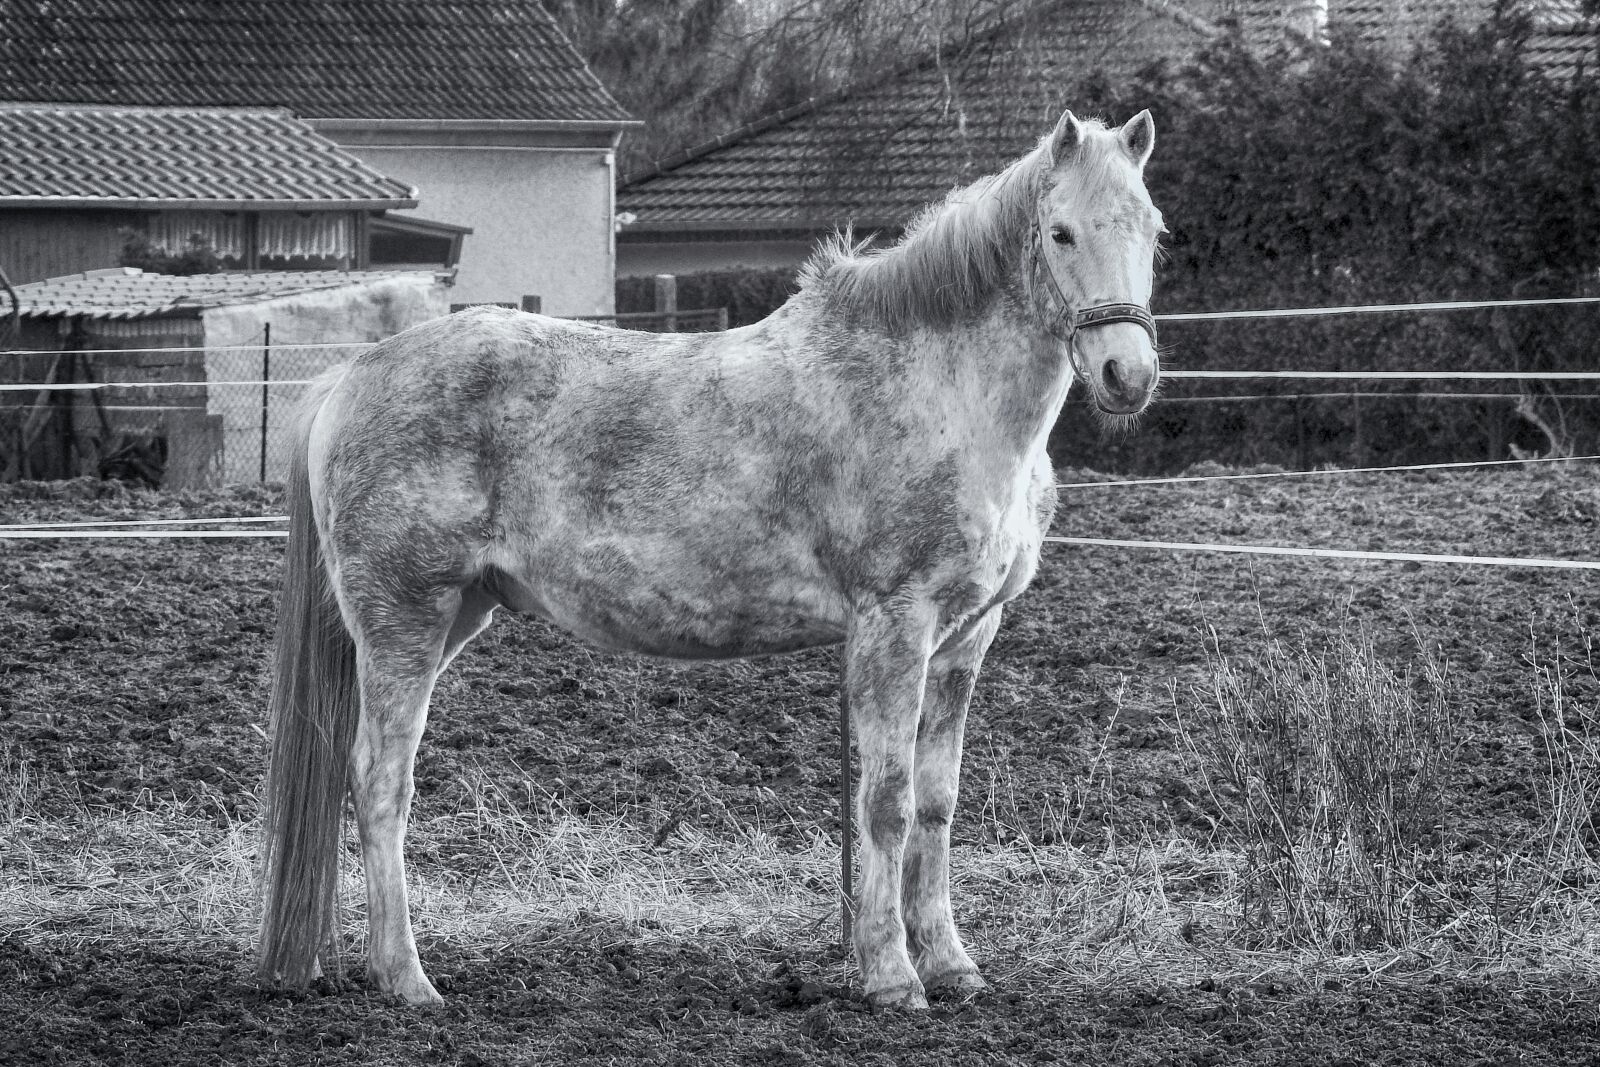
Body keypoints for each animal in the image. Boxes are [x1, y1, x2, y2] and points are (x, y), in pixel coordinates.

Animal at [257, 107, 1164, 1011]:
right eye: (1060, 232)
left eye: (1153, 230)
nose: (1129, 374)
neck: (935, 390)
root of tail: (352, 373)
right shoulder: (894, 625)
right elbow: (886, 802)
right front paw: (891, 975)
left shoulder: (967, 637)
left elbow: (936, 806)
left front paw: (953, 964)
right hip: (404, 619)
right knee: (380, 782)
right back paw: (407, 978)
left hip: (454, 614)